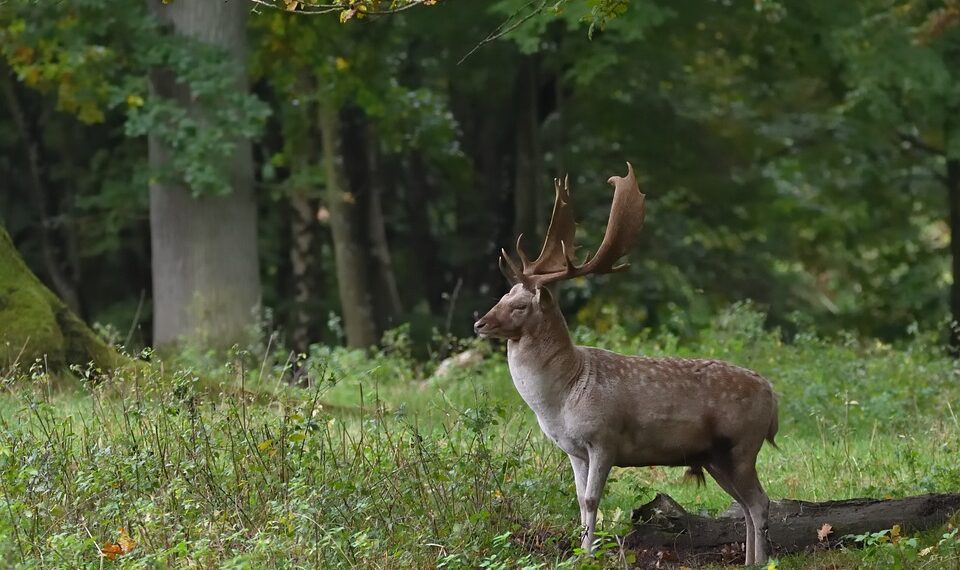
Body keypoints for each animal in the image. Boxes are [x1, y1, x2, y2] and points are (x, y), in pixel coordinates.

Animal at [473, 163, 779, 565]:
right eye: (504, 294)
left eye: (521, 305)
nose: (480, 323)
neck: (562, 397)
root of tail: (773, 397)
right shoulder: (573, 449)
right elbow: (580, 500)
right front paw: (579, 551)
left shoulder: (605, 437)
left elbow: (592, 499)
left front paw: (588, 555)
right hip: (716, 455)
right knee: (745, 504)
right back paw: (748, 560)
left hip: (742, 443)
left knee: (760, 502)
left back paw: (761, 561)